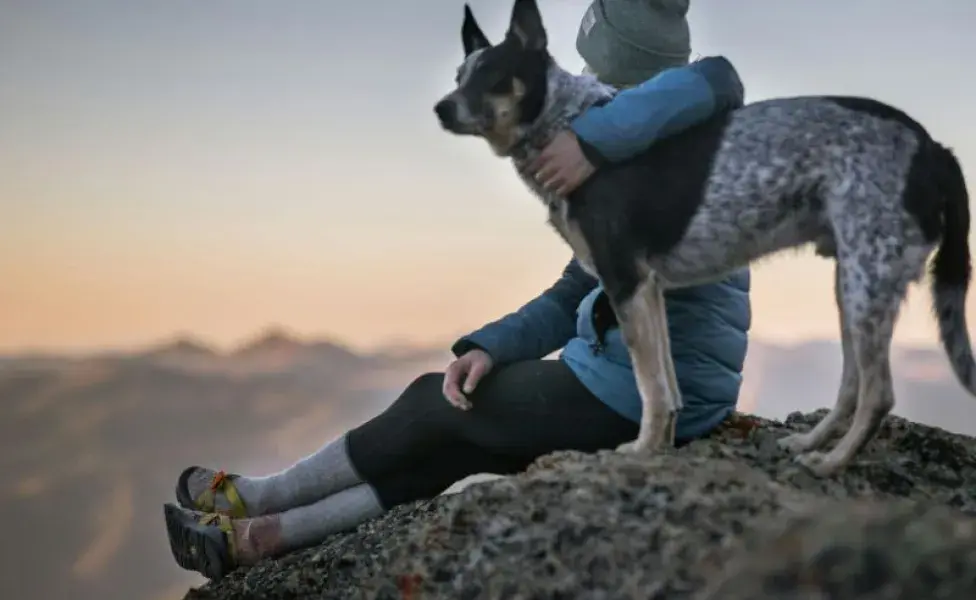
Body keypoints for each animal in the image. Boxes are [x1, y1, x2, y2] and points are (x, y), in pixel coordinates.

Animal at [434, 1, 976, 478]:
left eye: (494, 73)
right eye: (459, 76)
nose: (440, 108)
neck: (563, 122)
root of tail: (935, 149)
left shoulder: (625, 281)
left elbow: (650, 386)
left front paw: (639, 452)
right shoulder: (648, 290)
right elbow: (668, 389)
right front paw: (660, 448)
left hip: (868, 281)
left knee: (878, 393)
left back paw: (831, 463)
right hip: (854, 285)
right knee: (850, 383)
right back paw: (810, 443)